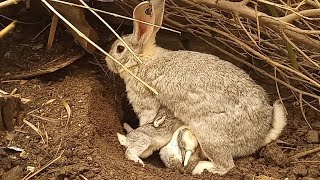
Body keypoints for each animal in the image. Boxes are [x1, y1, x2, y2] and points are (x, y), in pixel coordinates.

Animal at [109, 0, 286, 174]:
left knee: (226, 166)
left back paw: (202, 168)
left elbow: (147, 119)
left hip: (210, 136)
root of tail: (260, 136)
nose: (107, 60)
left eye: (119, 48)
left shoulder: (144, 101)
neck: (142, 60)